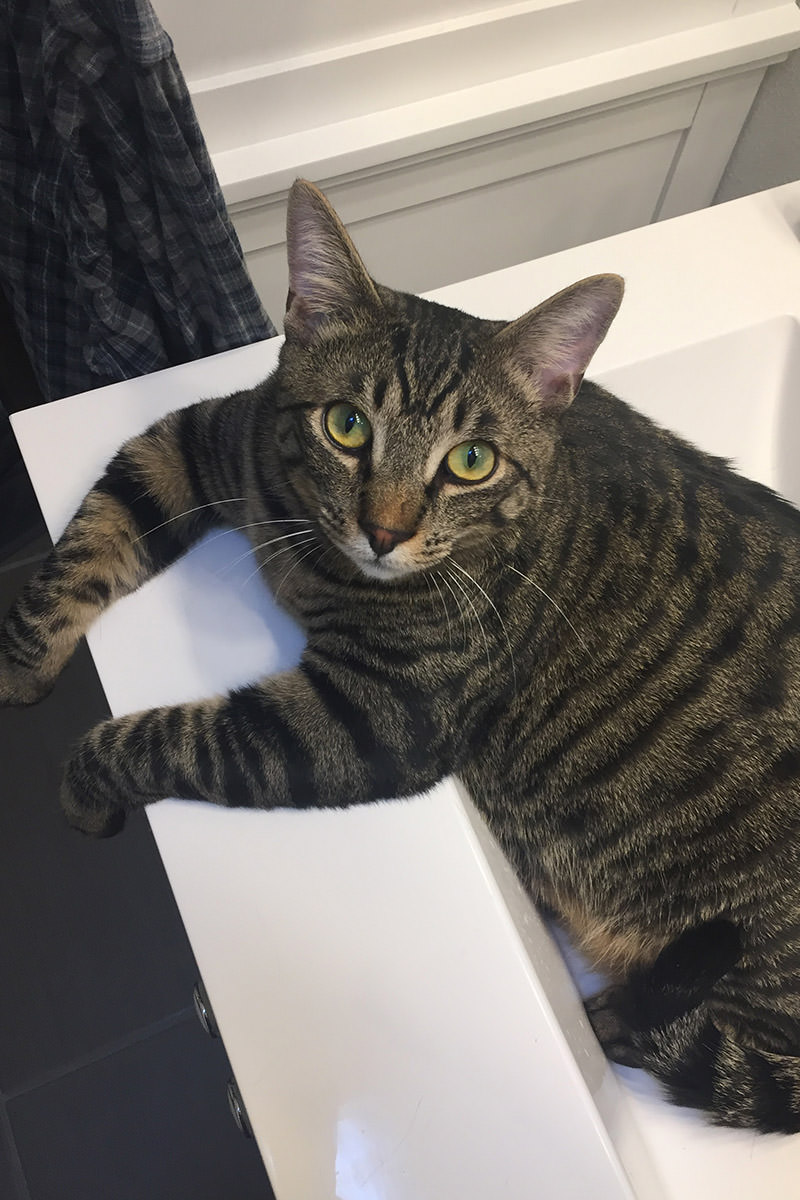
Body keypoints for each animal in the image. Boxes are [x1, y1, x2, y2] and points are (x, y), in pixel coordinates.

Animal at [1, 180, 800, 1132]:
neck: (315, 564)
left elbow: (161, 738)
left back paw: (617, 1015)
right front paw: (20, 667)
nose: (384, 530)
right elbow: (87, 542)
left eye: (471, 461)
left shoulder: (372, 718)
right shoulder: (202, 439)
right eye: (347, 426)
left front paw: (83, 787)